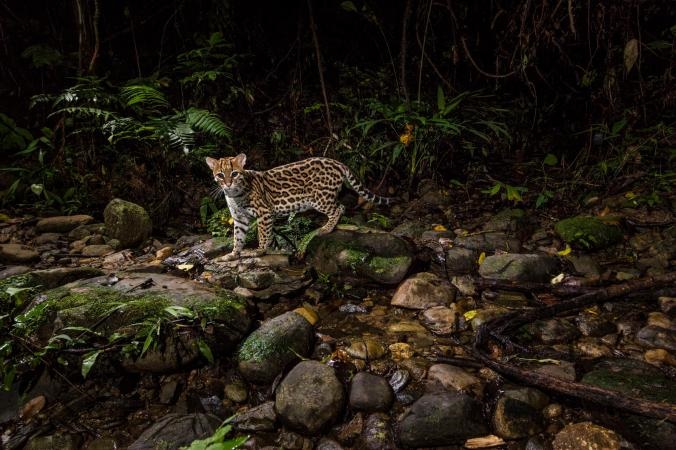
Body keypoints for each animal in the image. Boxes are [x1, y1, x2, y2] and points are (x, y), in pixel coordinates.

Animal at [207, 154, 396, 260]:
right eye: (220, 175)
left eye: (234, 173)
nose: (228, 184)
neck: (234, 195)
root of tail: (337, 162)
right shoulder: (239, 218)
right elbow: (238, 238)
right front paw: (233, 254)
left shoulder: (264, 213)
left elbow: (263, 234)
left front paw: (259, 251)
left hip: (320, 198)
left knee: (339, 208)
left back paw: (326, 228)